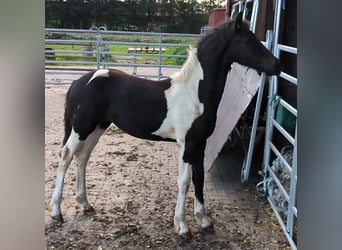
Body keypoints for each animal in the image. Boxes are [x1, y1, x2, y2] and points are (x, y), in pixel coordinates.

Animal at [50, 12, 280, 237]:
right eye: (247, 40)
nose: (277, 65)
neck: (194, 93)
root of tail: (79, 82)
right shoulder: (187, 144)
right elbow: (184, 181)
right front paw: (183, 226)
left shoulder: (200, 143)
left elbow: (199, 177)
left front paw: (204, 221)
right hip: (81, 127)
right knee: (65, 157)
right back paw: (56, 213)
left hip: (97, 127)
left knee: (82, 158)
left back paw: (85, 204)